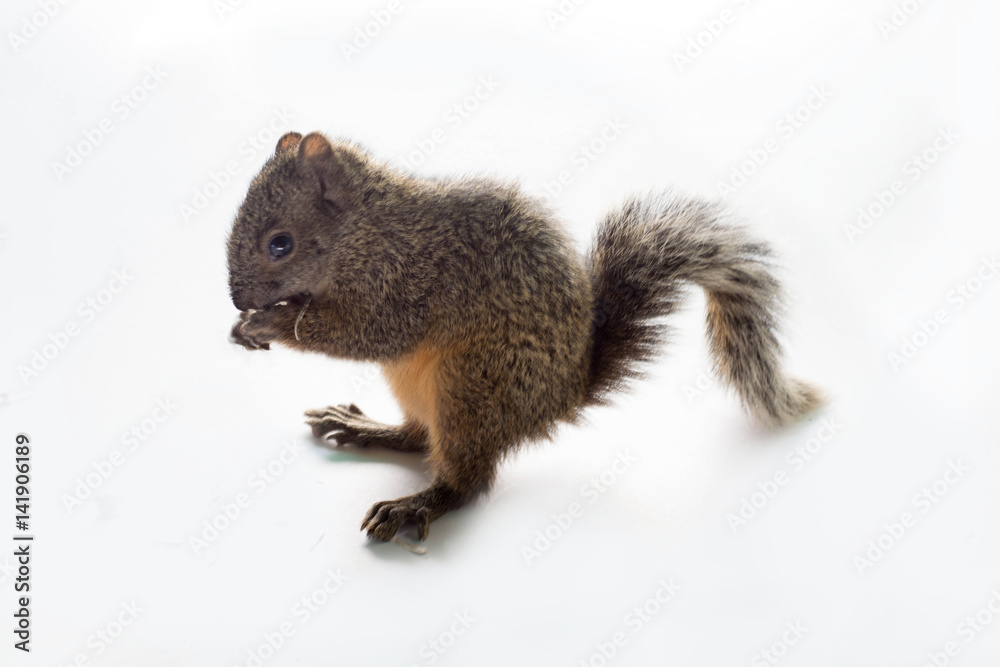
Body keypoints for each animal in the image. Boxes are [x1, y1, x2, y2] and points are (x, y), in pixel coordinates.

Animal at [227, 131, 822, 542]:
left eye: (280, 244)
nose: (237, 300)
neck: (366, 230)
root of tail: (559, 399)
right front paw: (242, 326)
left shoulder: (404, 281)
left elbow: (367, 332)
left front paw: (269, 322)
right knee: (419, 437)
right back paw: (367, 427)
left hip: (472, 385)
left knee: (466, 480)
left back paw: (416, 503)